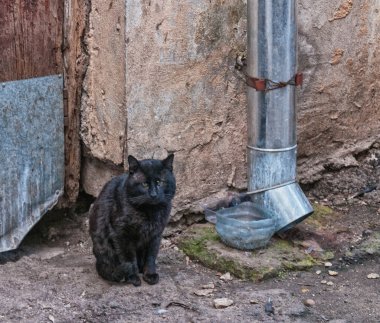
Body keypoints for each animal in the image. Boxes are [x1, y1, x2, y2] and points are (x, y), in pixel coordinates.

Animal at [90, 156, 176, 288]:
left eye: (159, 182)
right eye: (144, 184)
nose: (153, 194)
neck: (149, 212)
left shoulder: (155, 235)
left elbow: (151, 256)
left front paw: (150, 274)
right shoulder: (122, 234)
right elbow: (129, 258)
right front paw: (133, 277)